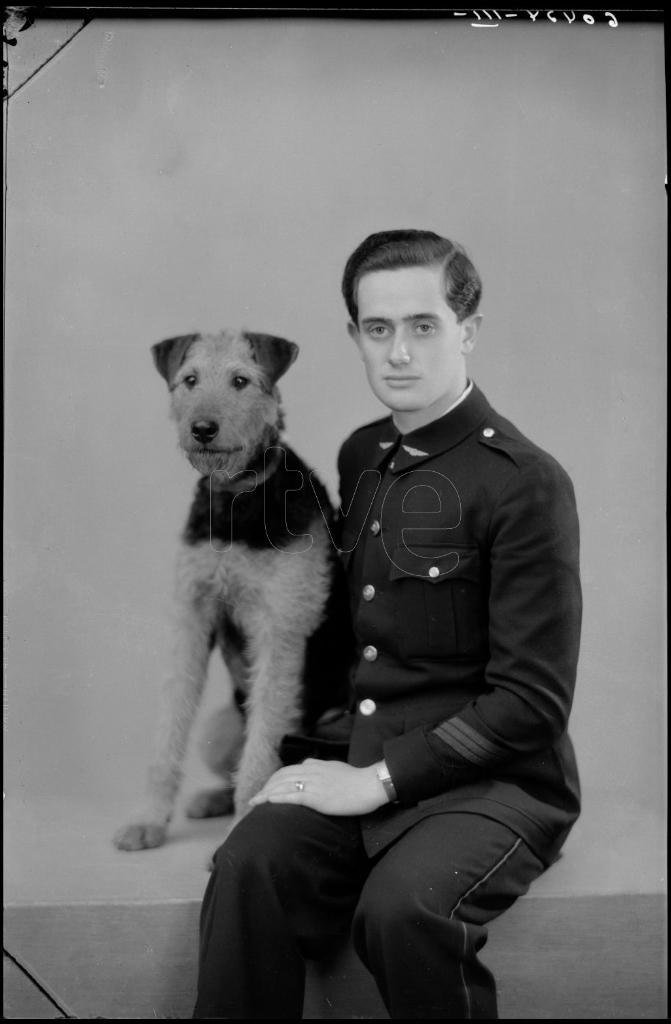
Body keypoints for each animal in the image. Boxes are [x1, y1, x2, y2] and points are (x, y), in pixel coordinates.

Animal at [112, 331, 354, 851]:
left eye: (241, 381)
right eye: (189, 380)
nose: (203, 428)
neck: (236, 497)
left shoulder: (280, 628)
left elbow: (264, 744)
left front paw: (241, 832)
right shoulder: (191, 615)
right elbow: (169, 727)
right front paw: (148, 820)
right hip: (221, 727)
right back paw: (212, 800)